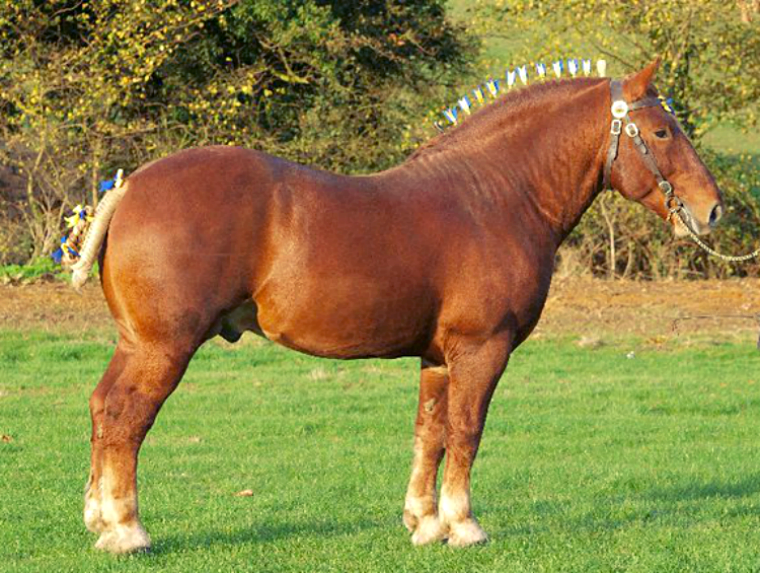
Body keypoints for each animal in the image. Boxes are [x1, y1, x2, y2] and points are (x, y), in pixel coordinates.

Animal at [75, 60, 723, 553]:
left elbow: (429, 433)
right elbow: (466, 430)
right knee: (128, 419)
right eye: (662, 132)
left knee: (103, 408)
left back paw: (99, 520)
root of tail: (130, 186)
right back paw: (128, 530)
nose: (713, 209)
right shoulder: (481, 349)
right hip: (164, 346)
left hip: (136, 342)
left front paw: (426, 523)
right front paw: (464, 524)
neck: (495, 197)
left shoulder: (437, 358)